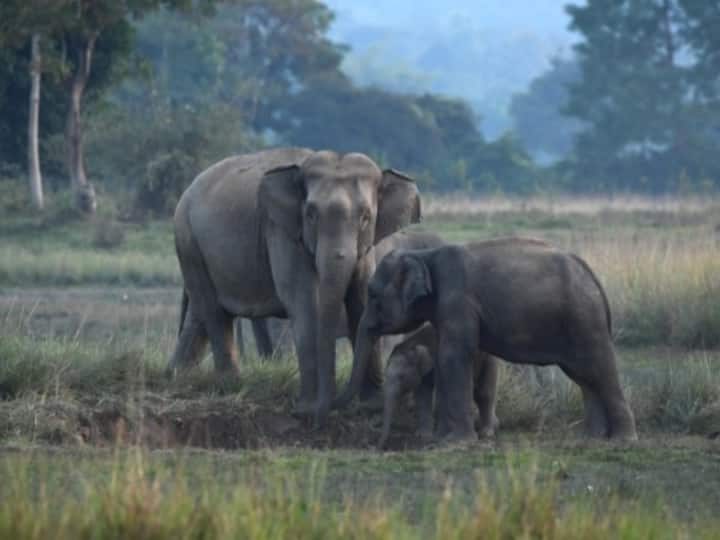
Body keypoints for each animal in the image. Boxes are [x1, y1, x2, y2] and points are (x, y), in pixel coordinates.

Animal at [167, 148, 421, 427]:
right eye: (310, 214)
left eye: (366, 217)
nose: (325, 411)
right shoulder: (282, 231)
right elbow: (303, 300)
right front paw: (308, 409)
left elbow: (361, 298)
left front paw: (371, 406)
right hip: (188, 241)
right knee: (213, 311)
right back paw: (230, 384)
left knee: (199, 314)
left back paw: (176, 376)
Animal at [336, 237, 638, 442]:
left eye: (373, 295)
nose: (378, 442)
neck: (423, 255)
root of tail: (592, 275)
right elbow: (444, 357)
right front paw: (442, 439)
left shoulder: (457, 300)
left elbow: (454, 355)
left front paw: (455, 442)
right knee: (583, 375)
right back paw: (592, 438)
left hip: (585, 319)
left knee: (600, 368)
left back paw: (622, 440)